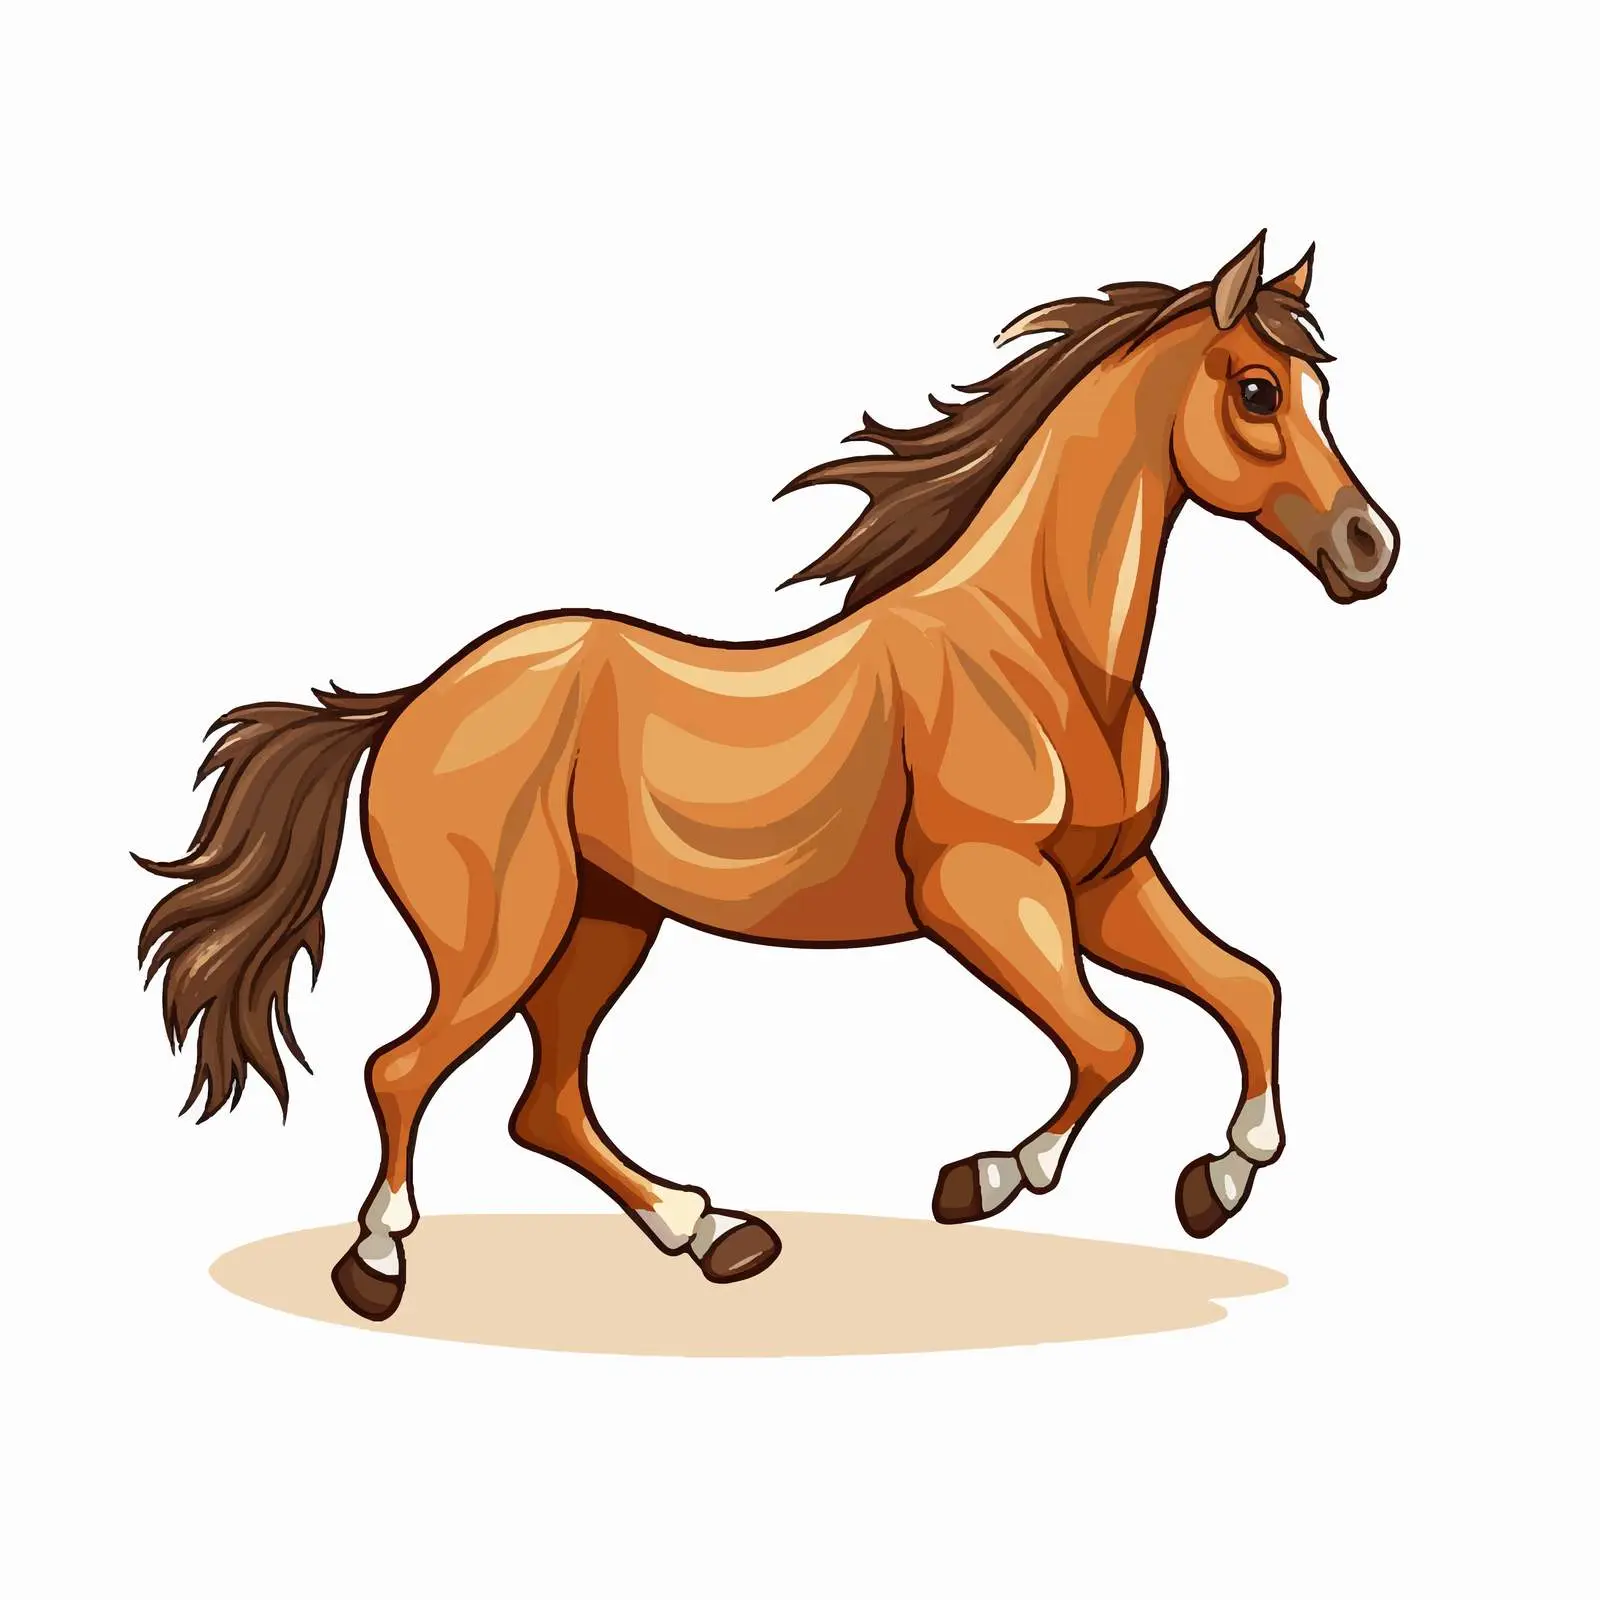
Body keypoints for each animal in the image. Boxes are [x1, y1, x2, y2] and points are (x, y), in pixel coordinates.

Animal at [139, 231, 1397, 1322]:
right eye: (1256, 391)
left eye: (1316, 392)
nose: (1368, 548)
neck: (1036, 652)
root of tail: (407, 704)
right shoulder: (981, 889)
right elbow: (1111, 1042)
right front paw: (985, 1177)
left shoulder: (1102, 884)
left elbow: (1247, 988)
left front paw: (1218, 1180)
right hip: (504, 936)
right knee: (401, 1070)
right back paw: (379, 1262)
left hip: (603, 926)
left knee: (545, 1105)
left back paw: (714, 1232)